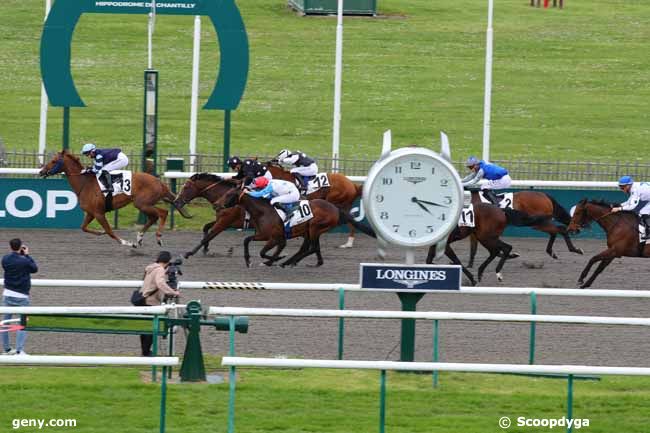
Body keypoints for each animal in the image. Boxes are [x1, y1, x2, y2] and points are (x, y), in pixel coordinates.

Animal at [39, 149, 189, 246]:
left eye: (53, 161)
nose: (41, 171)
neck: (85, 183)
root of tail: (160, 182)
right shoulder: (91, 213)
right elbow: (84, 227)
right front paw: (100, 232)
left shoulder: (99, 213)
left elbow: (110, 231)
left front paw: (127, 243)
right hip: (144, 204)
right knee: (154, 217)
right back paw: (140, 237)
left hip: (142, 203)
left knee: (162, 213)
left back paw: (157, 238)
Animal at [219, 189, 374, 266]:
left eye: (229, 194)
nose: (218, 205)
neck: (264, 212)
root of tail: (336, 209)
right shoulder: (264, 235)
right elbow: (246, 240)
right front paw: (249, 260)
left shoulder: (274, 238)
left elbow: (264, 252)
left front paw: (275, 259)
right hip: (310, 231)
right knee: (310, 248)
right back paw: (305, 262)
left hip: (314, 228)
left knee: (313, 248)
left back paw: (289, 262)